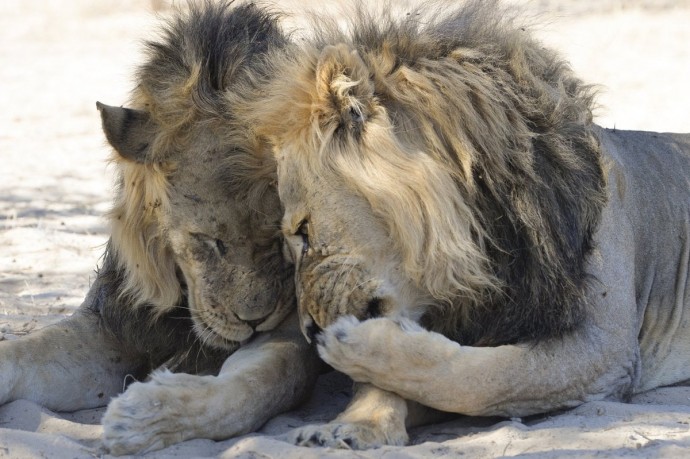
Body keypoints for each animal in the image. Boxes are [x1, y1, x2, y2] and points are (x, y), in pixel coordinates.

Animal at [0, 2, 320, 456]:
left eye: (281, 240)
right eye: (208, 241)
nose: (254, 321)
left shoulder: (291, 334)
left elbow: (265, 379)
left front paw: (147, 416)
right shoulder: (109, 324)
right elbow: (21, 351)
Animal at [243, 0, 690, 452]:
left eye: (303, 231)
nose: (309, 330)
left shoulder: (607, 349)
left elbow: (483, 378)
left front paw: (356, 347)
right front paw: (357, 423)